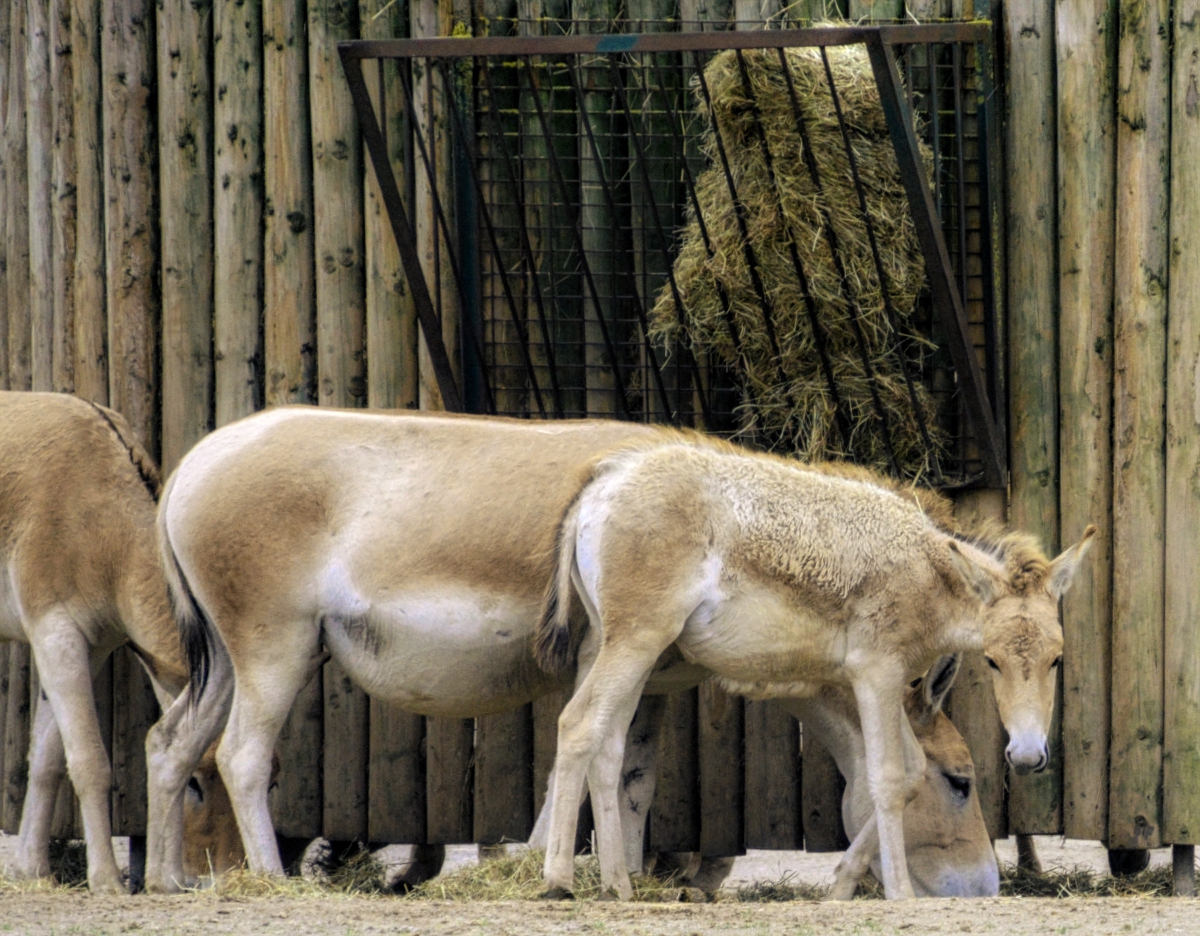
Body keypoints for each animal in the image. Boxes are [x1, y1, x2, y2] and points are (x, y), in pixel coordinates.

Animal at [0, 392, 245, 891]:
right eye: (195, 783)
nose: (224, 875)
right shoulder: (57, 633)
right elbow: (89, 761)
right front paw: (106, 880)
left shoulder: (89, 648)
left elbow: (48, 761)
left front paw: (34, 870)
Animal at [149, 407, 1024, 896]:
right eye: (961, 782)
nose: (983, 889)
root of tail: (193, 464)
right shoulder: (607, 657)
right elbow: (587, 758)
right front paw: (556, 870)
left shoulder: (654, 676)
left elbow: (630, 775)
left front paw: (618, 873)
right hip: (274, 644)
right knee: (241, 755)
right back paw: (269, 880)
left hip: (227, 657)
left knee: (171, 744)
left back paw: (167, 879)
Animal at [533, 436, 1093, 899]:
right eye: (993, 661)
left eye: (1057, 658)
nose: (1027, 755)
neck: (927, 570)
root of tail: (601, 483)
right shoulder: (877, 673)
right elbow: (887, 777)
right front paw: (899, 895)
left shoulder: (884, 681)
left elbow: (910, 773)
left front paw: (843, 886)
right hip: (636, 640)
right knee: (577, 725)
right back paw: (558, 880)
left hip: (624, 646)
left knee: (608, 747)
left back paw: (618, 886)